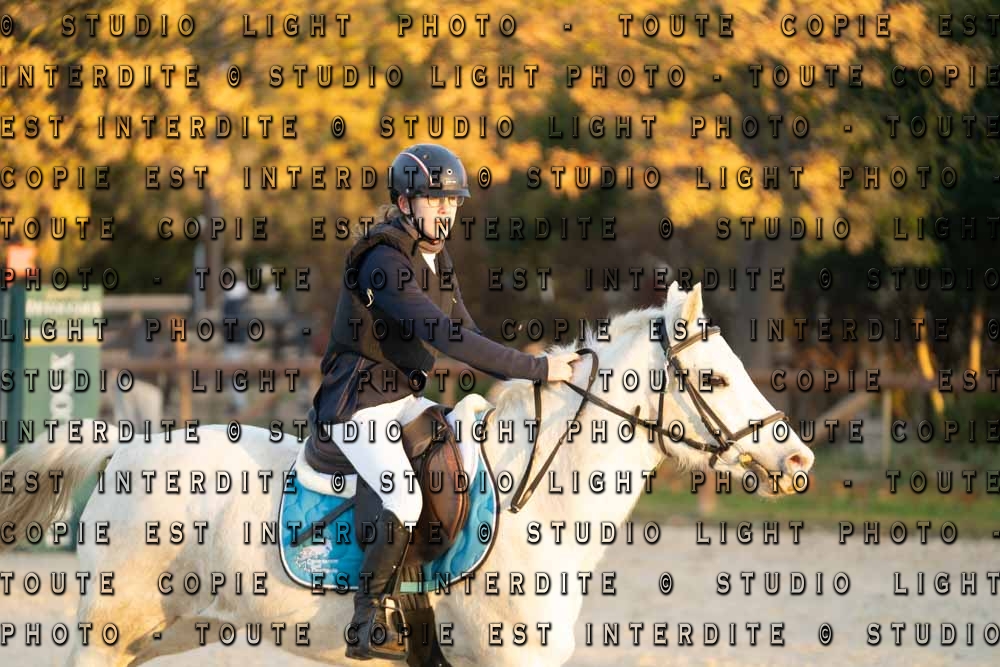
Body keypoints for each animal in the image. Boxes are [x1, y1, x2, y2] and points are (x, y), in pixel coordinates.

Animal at [0, 282, 815, 667]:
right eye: (711, 378)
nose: (797, 458)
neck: (535, 510)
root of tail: (126, 448)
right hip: (111, 630)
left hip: (164, 631)